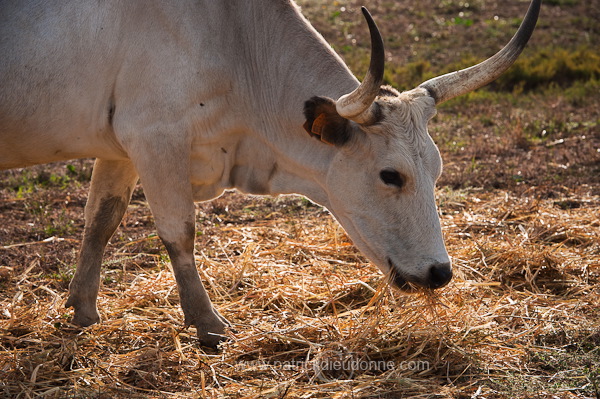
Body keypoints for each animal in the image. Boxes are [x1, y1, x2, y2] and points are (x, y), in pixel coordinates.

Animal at [0, 0, 540, 348]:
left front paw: (82, 311)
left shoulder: (122, 149)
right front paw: (209, 325)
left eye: (436, 169)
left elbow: (100, 221)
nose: (439, 272)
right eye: (391, 175)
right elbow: (180, 233)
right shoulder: (155, 137)